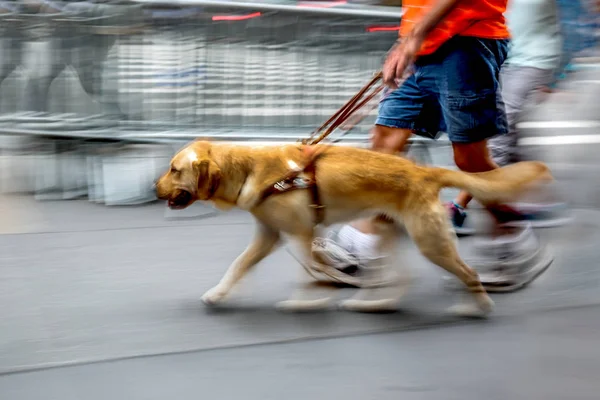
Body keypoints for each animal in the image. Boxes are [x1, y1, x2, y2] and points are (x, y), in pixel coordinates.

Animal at [156, 140, 552, 316]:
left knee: (469, 272)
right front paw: (217, 295)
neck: (250, 168)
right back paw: (376, 304)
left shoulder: (302, 236)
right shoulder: (268, 237)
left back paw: (478, 307)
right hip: (390, 234)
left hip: (431, 242)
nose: (155, 189)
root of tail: (424, 171)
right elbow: (238, 266)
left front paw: (308, 301)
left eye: (174, 169)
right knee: (403, 277)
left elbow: (310, 276)